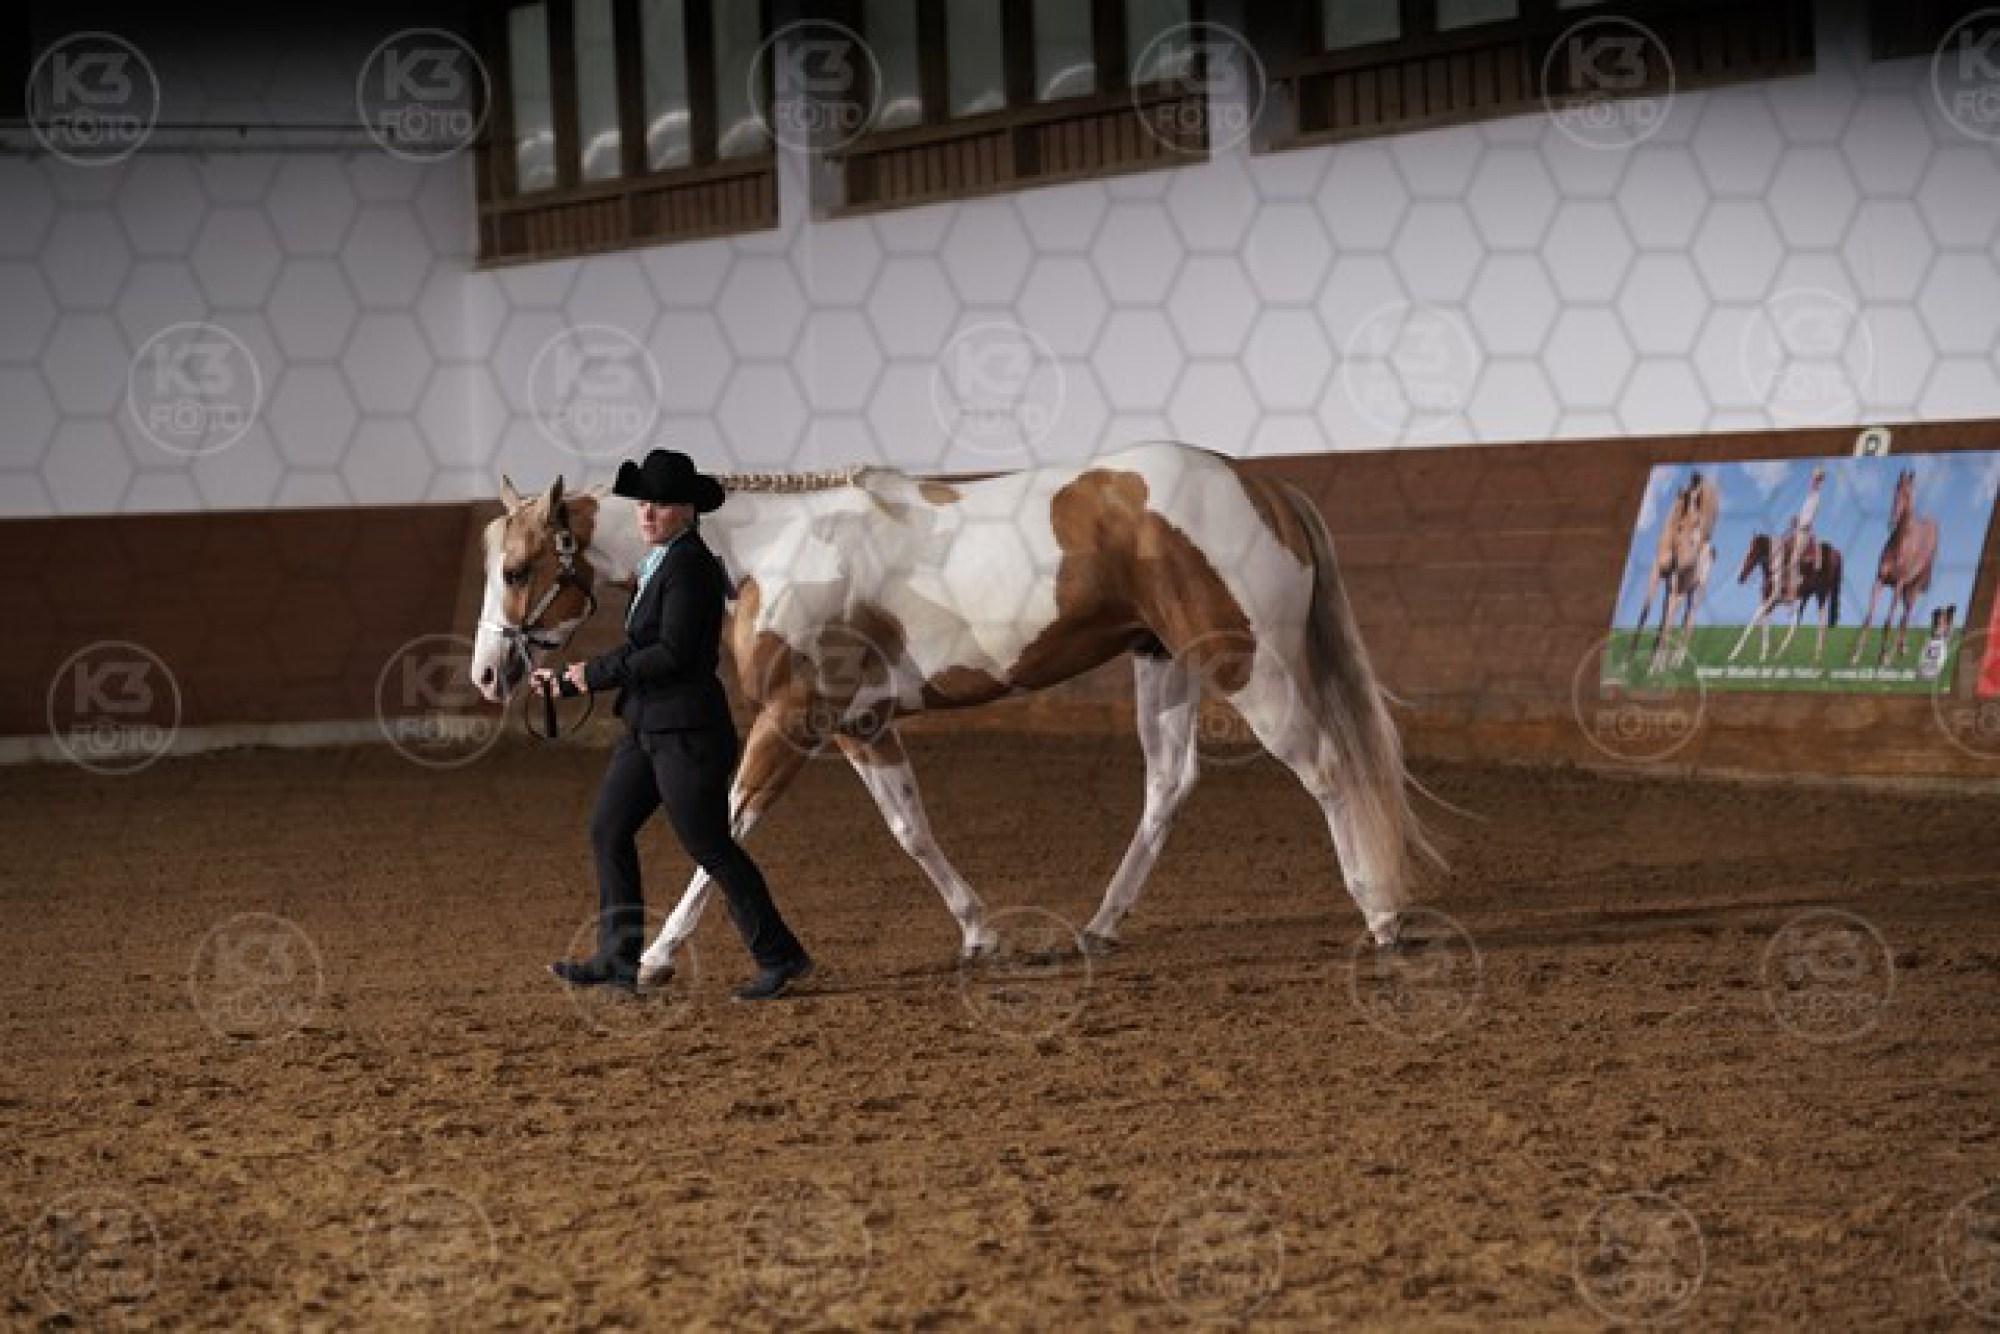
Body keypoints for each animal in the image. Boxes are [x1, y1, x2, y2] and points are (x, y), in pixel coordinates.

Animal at [469, 441, 1434, 988]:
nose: (488, 672)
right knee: (1170, 786)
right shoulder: (858, 726)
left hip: (1246, 663)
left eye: (516, 569)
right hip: (1162, 664)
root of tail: (1260, 485)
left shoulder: (793, 719)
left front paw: (658, 957)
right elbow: (911, 830)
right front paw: (981, 936)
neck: (766, 551)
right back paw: (1098, 928)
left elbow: (727, 830)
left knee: (1327, 769)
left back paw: (1382, 915)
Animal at [1632, 472, 1718, 674]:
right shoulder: (1657, 571)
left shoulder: (1676, 580)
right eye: (1679, 525)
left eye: (1697, 523)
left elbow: (1667, 622)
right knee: (1679, 617)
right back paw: (1667, 660)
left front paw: (1654, 667)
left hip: (1697, 589)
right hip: (1684, 589)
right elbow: (1645, 612)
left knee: (1688, 620)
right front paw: (1629, 661)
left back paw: (1675, 662)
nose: (1687, 562)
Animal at [1727, 531, 1843, 664]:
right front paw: (1763, 655)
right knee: (1796, 623)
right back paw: (1780, 653)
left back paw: (1817, 656)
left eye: (1753, 551)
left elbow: (1754, 619)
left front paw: (1733, 654)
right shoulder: (1768, 599)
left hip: (1821, 593)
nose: (1741, 577)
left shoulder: (1773, 599)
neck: (1775, 570)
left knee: (1820, 621)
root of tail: (1835, 552)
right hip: (1806, 596)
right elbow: (1763, 619)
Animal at [1849, 469, 1937, 666]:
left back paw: (1892, 655)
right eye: (1894, 491)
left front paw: (1882, 657)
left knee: (1905, 616)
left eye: (1907, 494)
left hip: (1912, 587)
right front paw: (1856, 655)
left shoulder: (1897, 584)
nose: (1890, 522)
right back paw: (1901, 650)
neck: (1898, 545)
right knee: (1905, 615)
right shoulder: (1879, 580)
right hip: (1906, 589)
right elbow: (1868, 617)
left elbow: (1888, 621)